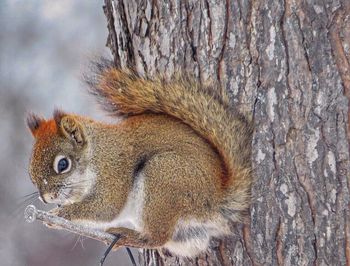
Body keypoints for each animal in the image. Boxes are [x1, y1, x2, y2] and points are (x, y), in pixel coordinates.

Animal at [26, 62, 253, 258]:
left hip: (163, 178)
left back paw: (128, 236)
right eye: (30, 172)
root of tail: (217, 199)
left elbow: (106, 207)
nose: (45, 198)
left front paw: (60, 213)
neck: (96, 155)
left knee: (157, 238)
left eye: (63, 164)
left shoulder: (114, 173)